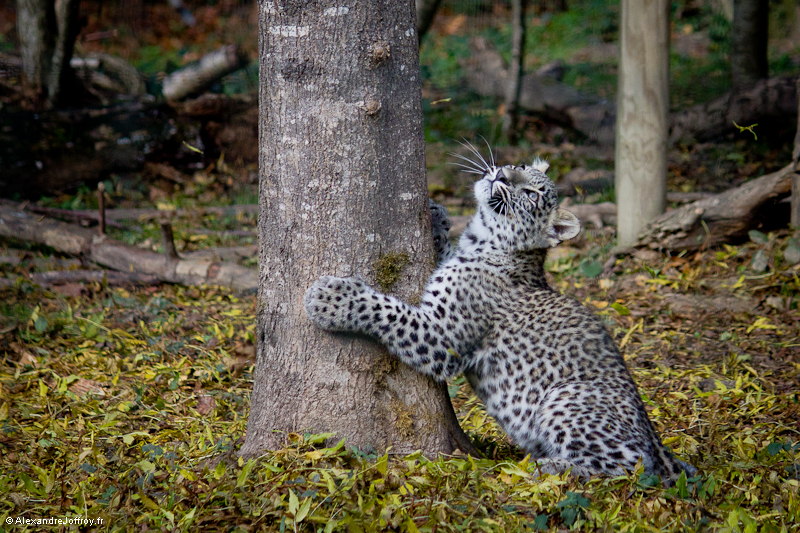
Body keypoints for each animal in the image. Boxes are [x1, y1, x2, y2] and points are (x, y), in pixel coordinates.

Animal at [304, 145, 696, 482]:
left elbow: (390, 311)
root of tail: (663, 449)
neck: (484, 242)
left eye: (532, 195)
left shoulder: (442, 338)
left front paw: (329, 298)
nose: (503, 175)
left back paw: (548, 466)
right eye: (520, 167)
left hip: (565, 398)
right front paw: (437, 216)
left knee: (631, 466)